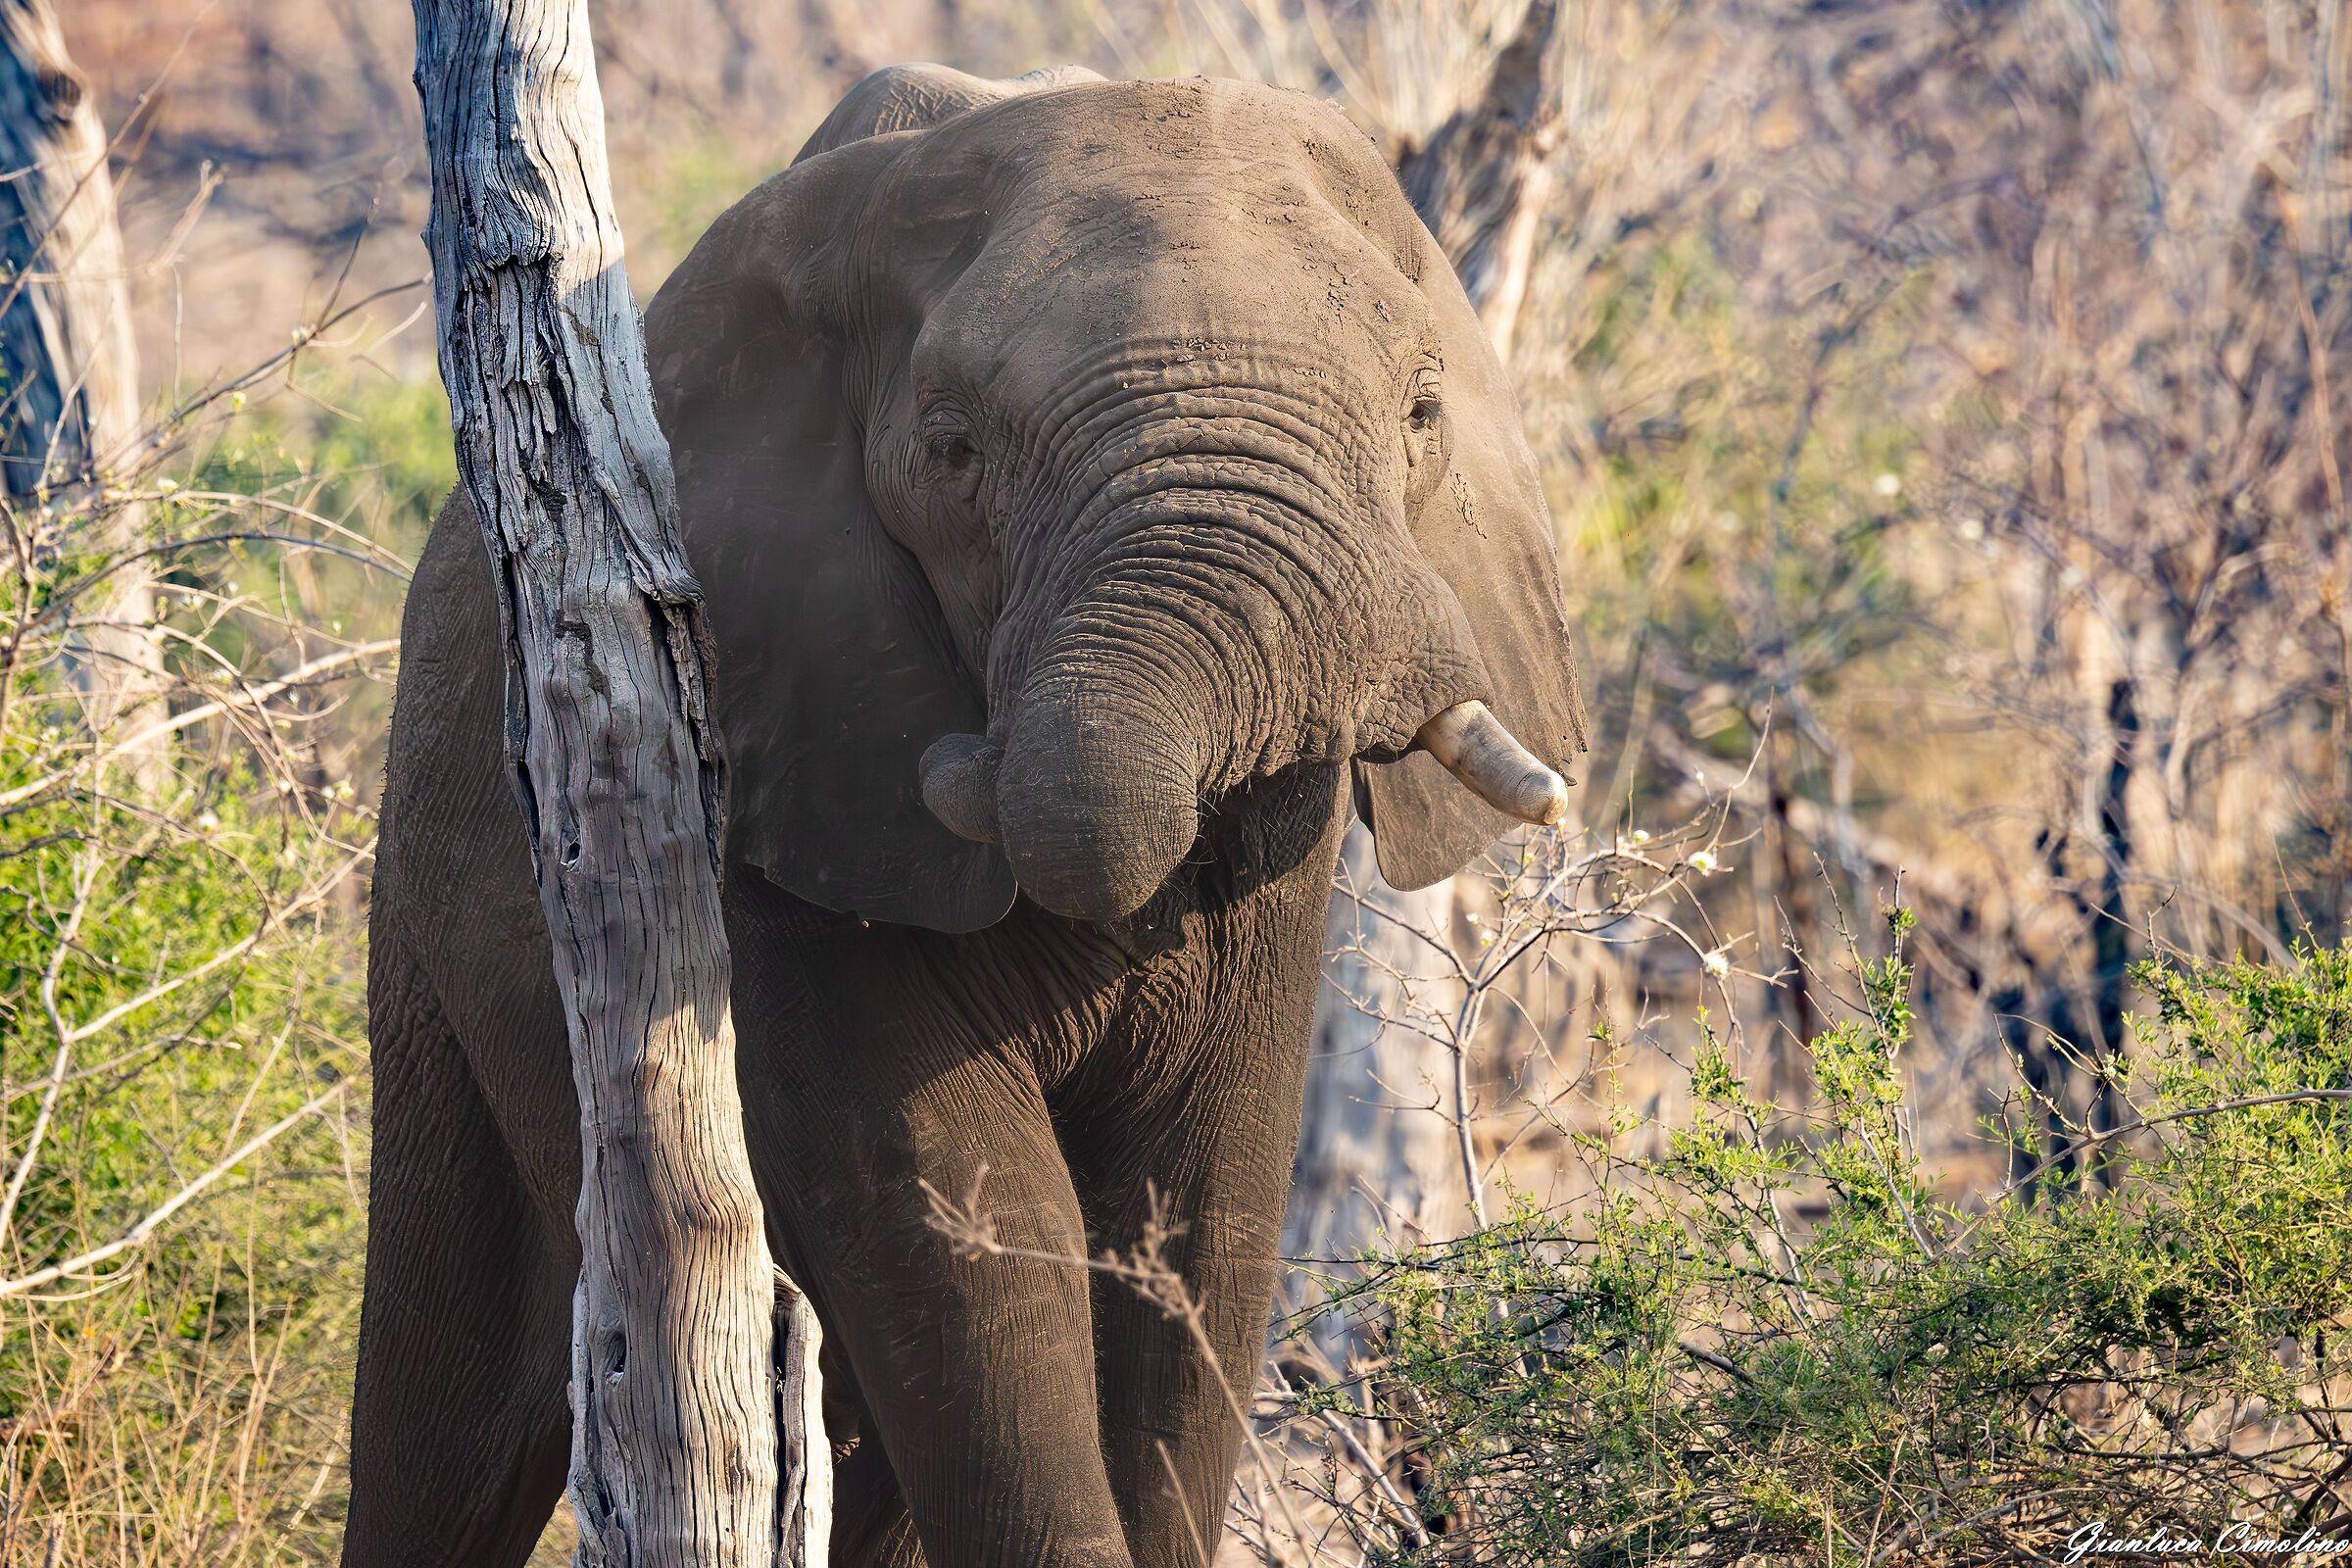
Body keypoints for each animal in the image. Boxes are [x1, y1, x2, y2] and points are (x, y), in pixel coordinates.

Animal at [347, 63, 1585, 1568]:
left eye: (1420, 414)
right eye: (953, 451)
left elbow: (1199, 1211)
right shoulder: (775, 769)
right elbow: (972, 1218)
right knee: (443, 1412)